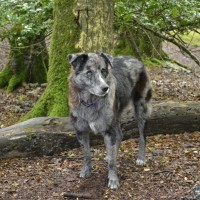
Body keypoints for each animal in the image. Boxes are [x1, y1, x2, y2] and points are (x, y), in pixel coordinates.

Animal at [67, 52, 152, 189]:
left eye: (103, 70)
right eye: (89, 72)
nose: (105, 88)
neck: (90, 102)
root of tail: (136, 59)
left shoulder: (108, 131)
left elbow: (112, 162)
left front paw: (113, 180)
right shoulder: (81, 131)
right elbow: (86, 154)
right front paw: (86, 170)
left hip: (140, 109)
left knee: (142, 136)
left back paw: (141, 158)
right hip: (115, 116)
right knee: (120, 135)